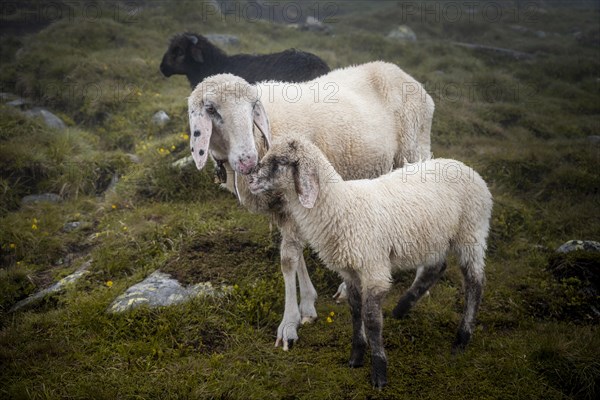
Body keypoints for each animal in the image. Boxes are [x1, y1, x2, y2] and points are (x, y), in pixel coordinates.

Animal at [188, 61, 436, 350]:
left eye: (253, 106)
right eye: (211, 109)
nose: (248, 160)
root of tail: (398, 71)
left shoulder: (295, 198)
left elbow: (288, 260)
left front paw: (288, 324)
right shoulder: (285, 208)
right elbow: (297, 256)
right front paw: (307, 305)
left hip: (414, 151)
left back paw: (421, 284)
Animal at [247, 138, 492, 388]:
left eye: (281, 161)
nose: (250, 179)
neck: (342, 206)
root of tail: (465, 168)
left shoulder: (374, 269)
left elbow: (372, 319)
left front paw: (379, 373)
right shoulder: (350, 271)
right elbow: (356, 311)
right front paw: (356, 357)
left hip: (471, 233)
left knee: (475, 282)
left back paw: (462, 338)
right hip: (433, 238)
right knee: (435, 268)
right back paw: (402, 308)